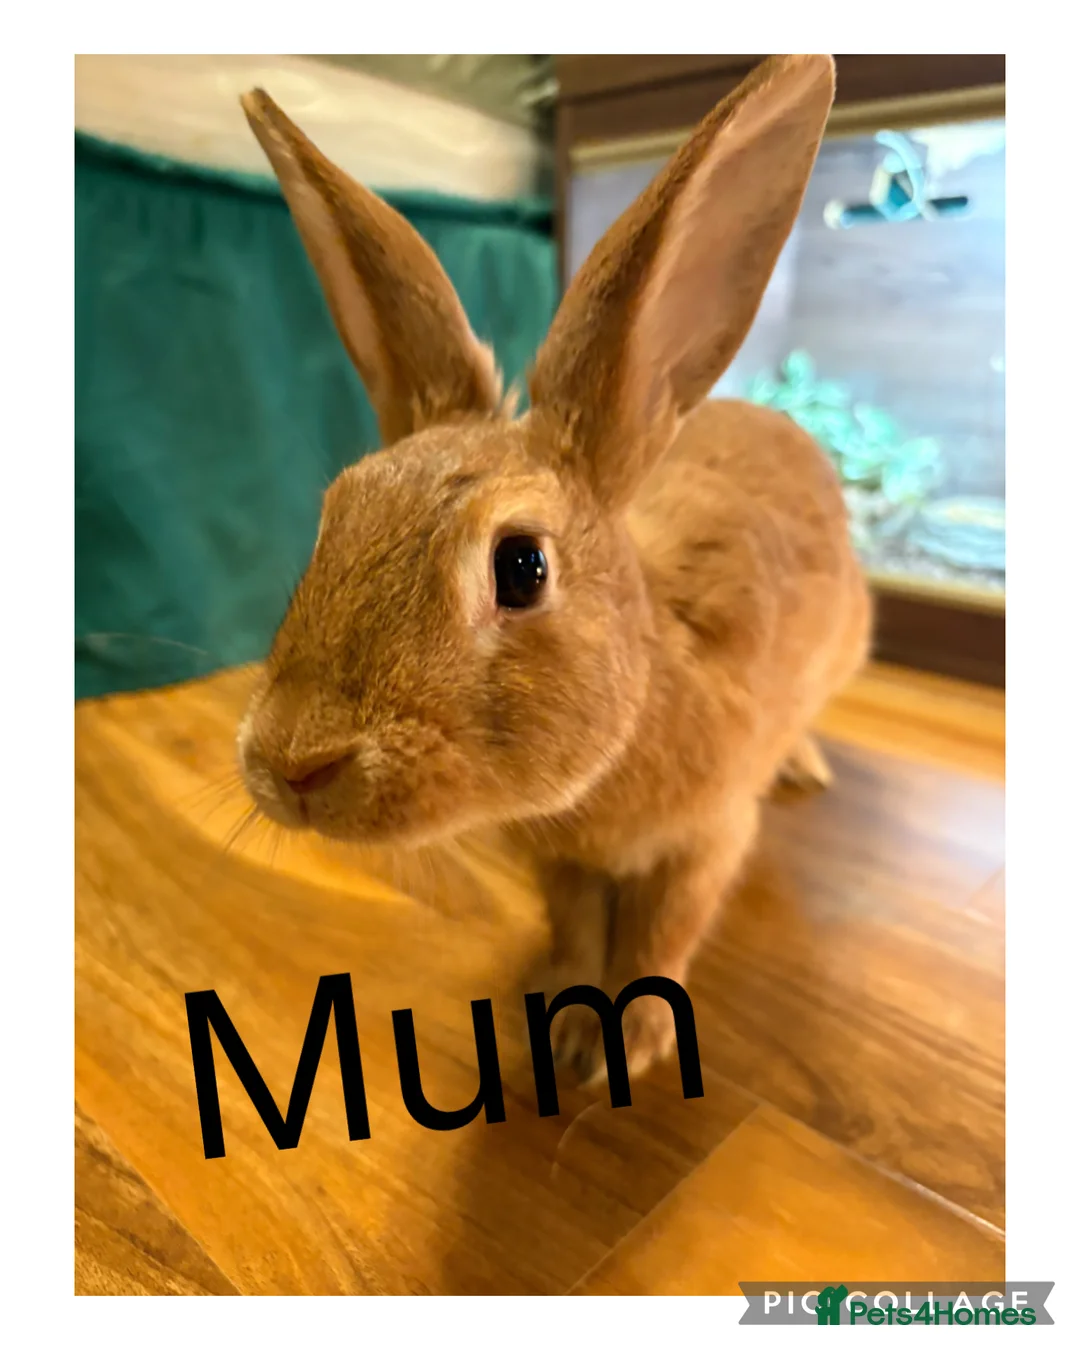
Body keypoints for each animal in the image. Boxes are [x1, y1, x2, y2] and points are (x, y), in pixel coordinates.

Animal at [236, 54, 872, 1086]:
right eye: (335, 515)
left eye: (523, 566)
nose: (293, 764)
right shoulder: (559, 862)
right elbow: (575, 929)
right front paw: (569, 1024)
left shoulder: (704, 840)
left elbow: (662, 931)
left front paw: (635, 1046)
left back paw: (805, 767)